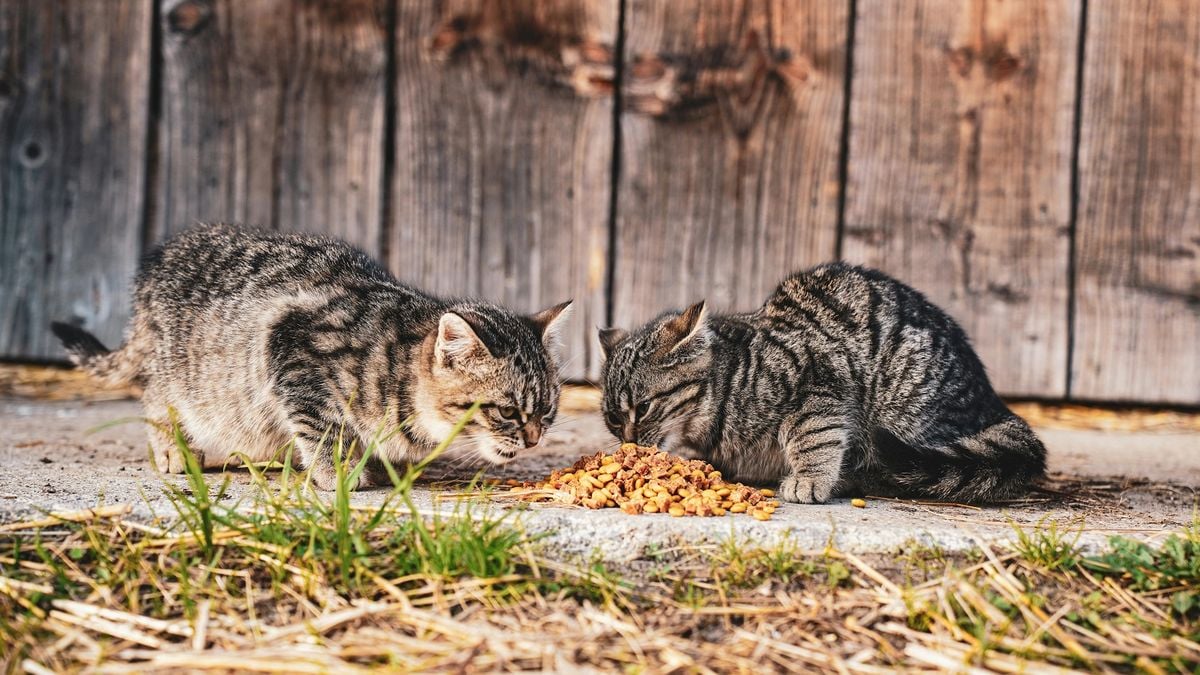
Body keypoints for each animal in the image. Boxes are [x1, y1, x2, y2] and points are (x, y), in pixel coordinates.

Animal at [51, 225, 566, 487]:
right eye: (507, 412)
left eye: (547, 412)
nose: (534, 439)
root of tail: (160, 260)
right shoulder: (290, 348)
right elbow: (323, 425)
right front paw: (339, 473)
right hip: (185, 371)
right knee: (156, 396)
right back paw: (174, 448)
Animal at [600, 265, 1051, 502]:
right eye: (613, 421)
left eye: (642, 408)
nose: (629, 443)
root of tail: (995, 406)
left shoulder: (818, 382)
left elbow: (813, 436)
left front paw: (810, 478)